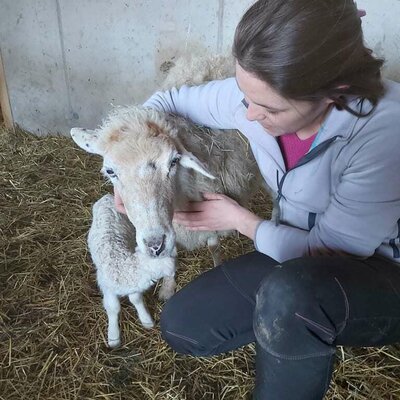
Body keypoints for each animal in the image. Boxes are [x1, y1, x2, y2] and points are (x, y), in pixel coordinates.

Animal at [89, 194, 177, 346]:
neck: (123, 266)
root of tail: (107, 197)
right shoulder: (107, 286)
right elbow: (113, 307)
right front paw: (113, 337)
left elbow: (136, 299)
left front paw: (146, 320)